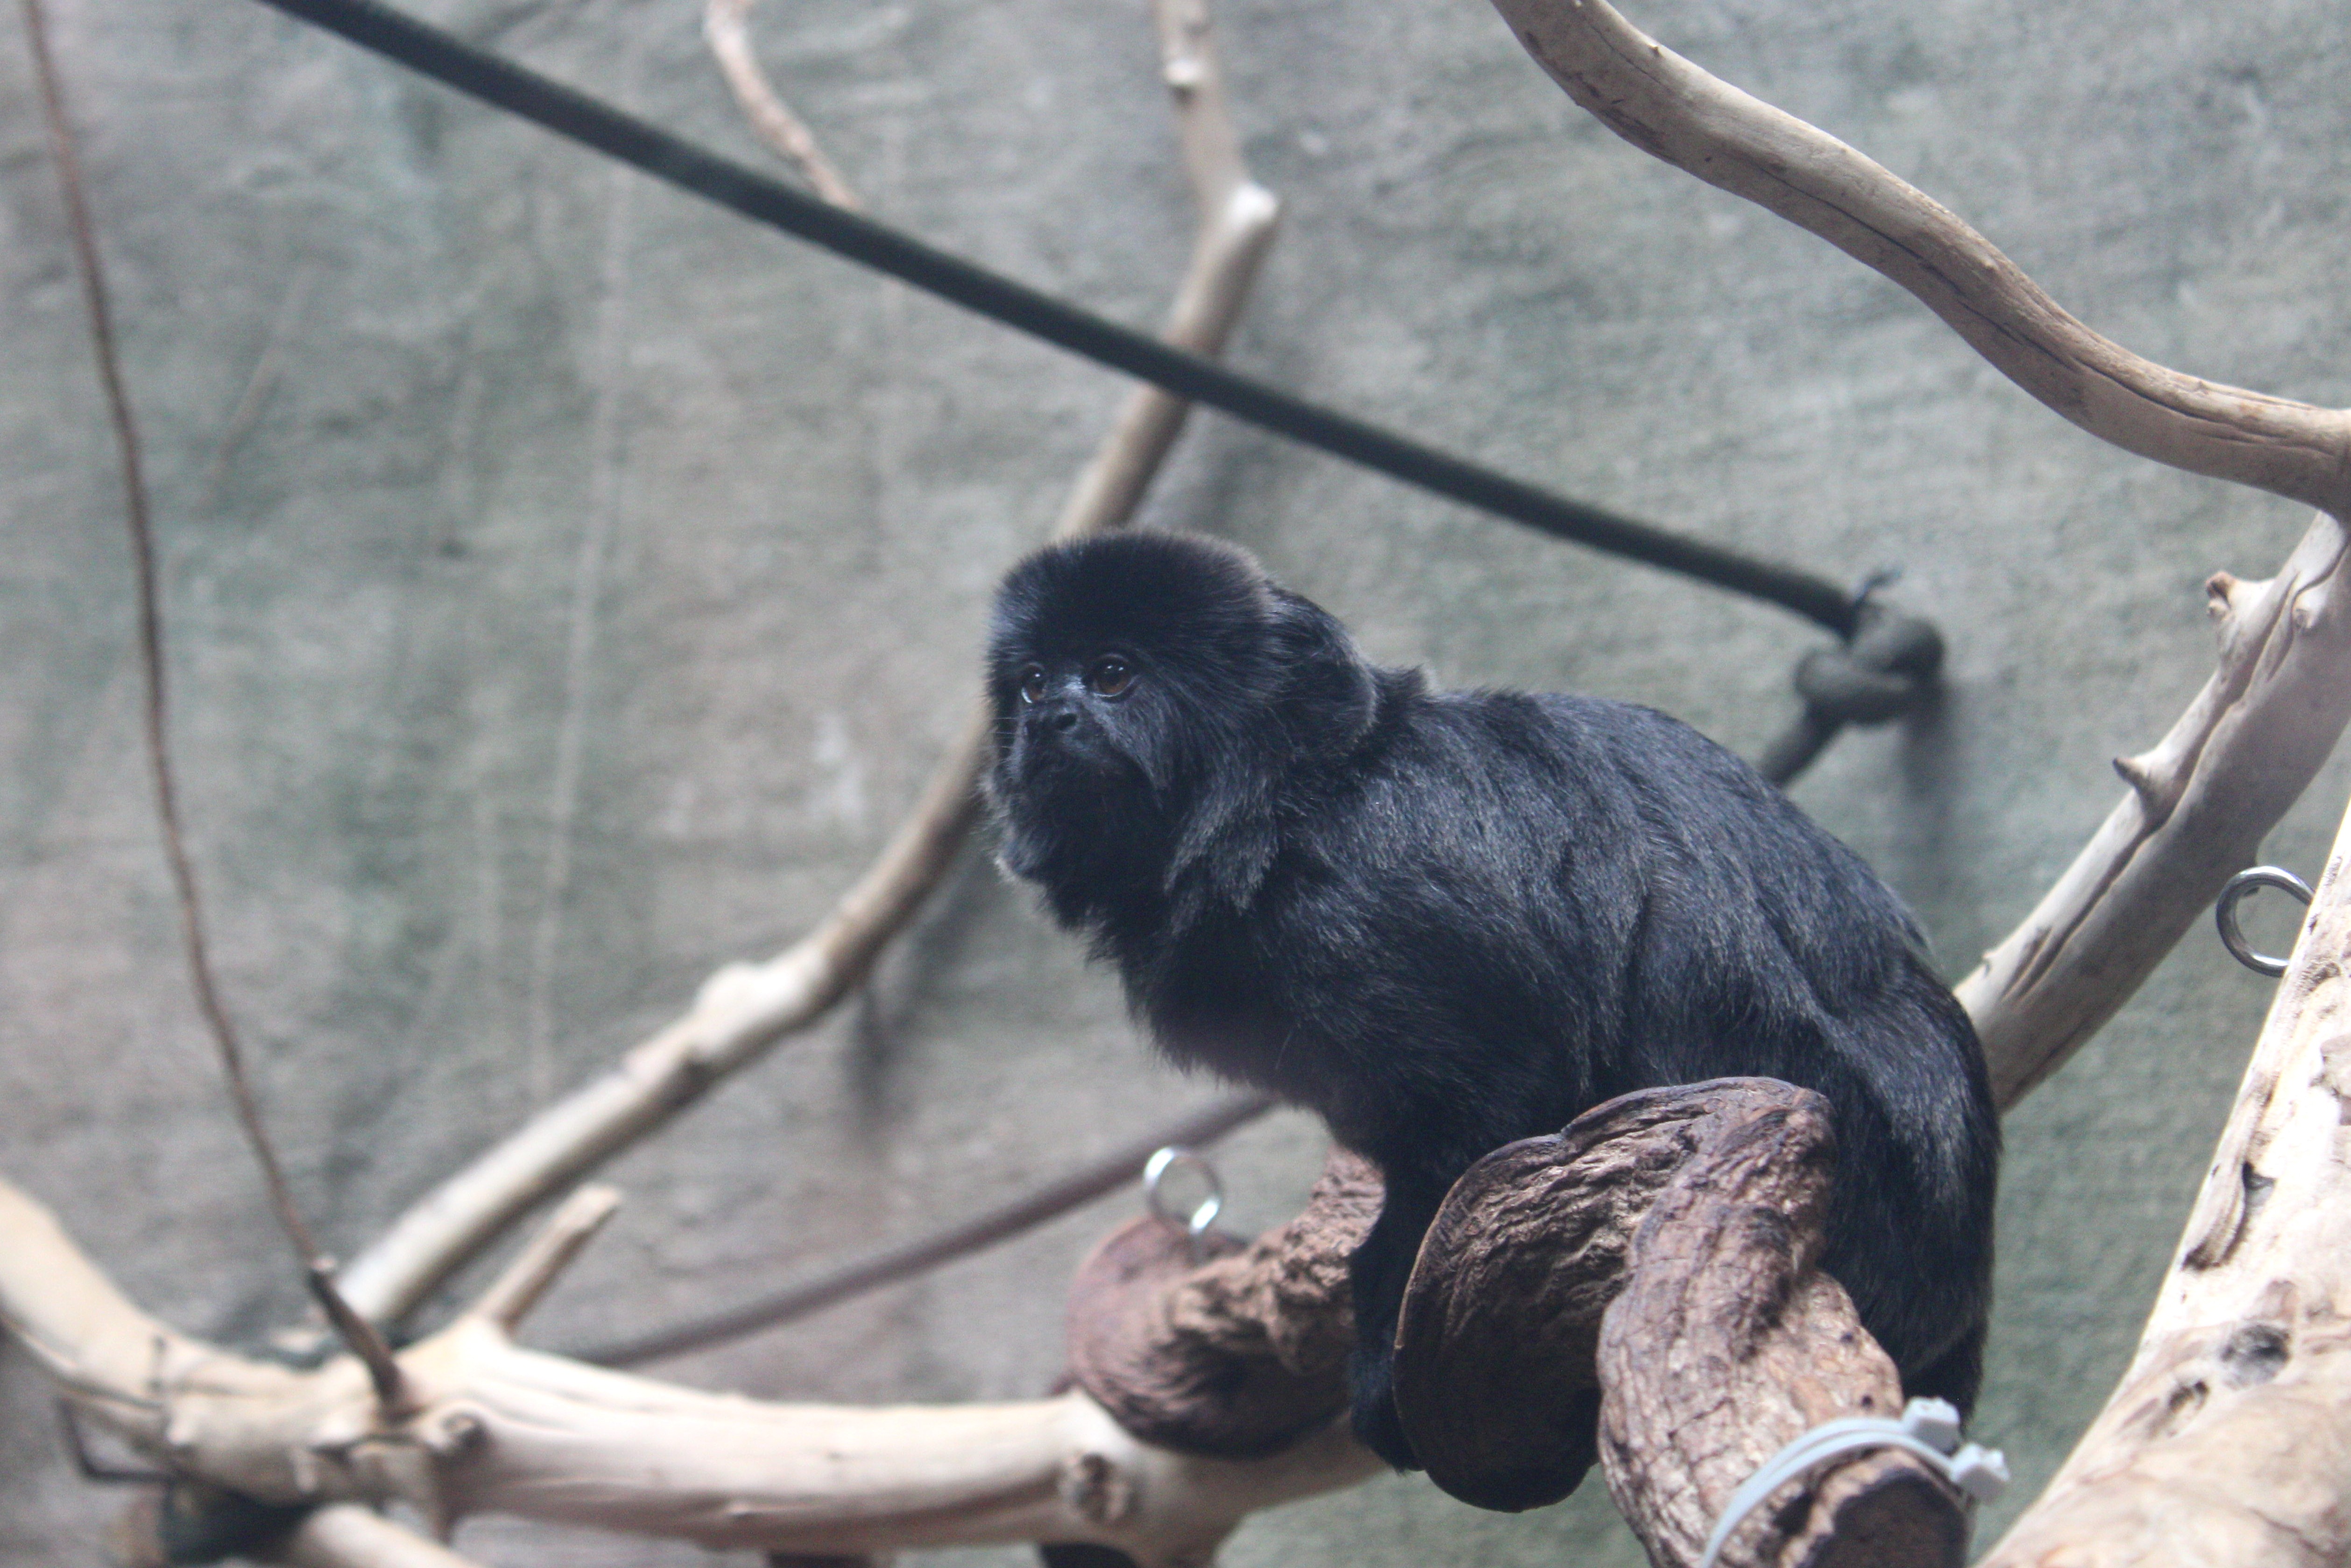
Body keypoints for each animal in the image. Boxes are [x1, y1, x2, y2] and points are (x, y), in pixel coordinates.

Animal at [983, 530, 1997, 1474]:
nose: (1055, 718)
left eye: (1113, 675)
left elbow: (1511, 1084)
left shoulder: (1370, 896)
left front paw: (1384, 1304)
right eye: (1030, 686)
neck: (1292, 802)